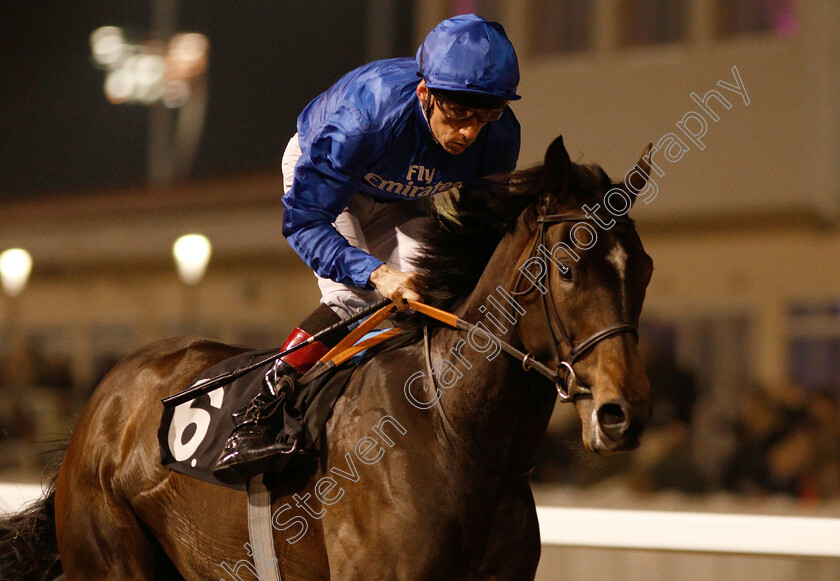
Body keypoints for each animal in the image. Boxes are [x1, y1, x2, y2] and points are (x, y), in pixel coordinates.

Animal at [0, 136, 656, 580]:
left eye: (644, 269)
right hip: (109, 557)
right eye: (568, 267)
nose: (622, 415)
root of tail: (105, 399)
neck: (454, 433)